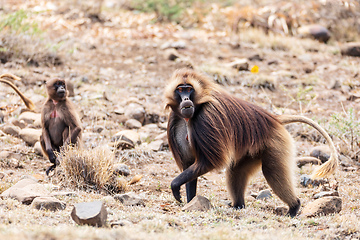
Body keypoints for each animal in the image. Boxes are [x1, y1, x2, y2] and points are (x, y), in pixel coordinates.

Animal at [165, 68, 338, 217]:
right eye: (180, 90)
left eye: (189, 89)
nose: (186, 99)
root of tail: (274, 119)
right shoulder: (176, 120)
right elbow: (190, 164)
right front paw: (190, 202)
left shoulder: (207, 118)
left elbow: (209, 162)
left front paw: (175, 185)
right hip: (251, 151)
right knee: (236, 170)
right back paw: (238, 206)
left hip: (275, 142)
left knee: (271, 170)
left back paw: (294, 207)